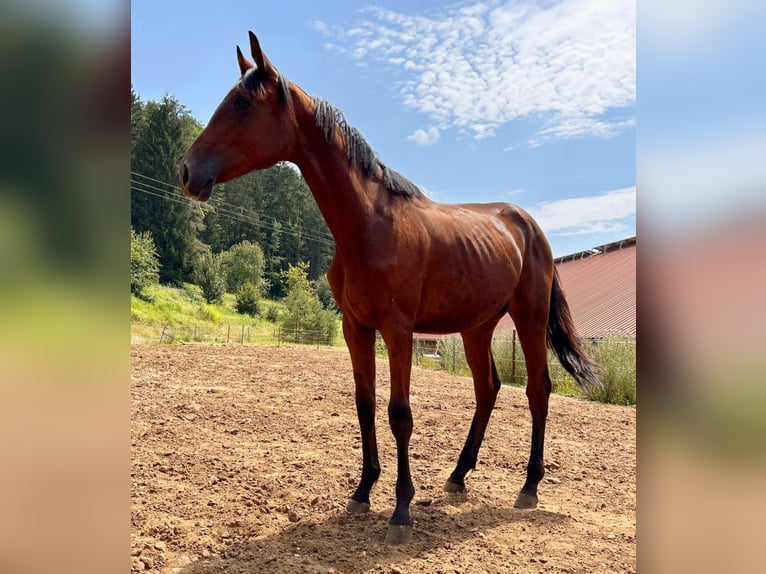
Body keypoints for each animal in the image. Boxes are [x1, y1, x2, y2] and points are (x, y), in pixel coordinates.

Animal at [180, 32, 600, 548]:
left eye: (241, 103)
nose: (187, 172)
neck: (369, 227)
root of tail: (528, 227)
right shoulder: (356, 327)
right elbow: (365, 404)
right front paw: (362, 492)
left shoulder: (398, 330)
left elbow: (400, 413)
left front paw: (400, 512)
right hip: (477, 327)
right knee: (487, 389)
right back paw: (457, 477)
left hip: (530, 318)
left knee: (537, 390)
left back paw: (529, 487)